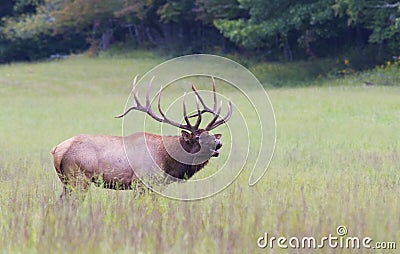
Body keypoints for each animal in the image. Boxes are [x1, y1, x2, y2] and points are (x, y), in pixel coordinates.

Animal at [50, 76, 231, 197]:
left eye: (211, 135)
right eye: (198, 137)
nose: (218, 143)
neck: (169, 163)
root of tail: (57, 150)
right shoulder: (142, 182)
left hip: (66, 181)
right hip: (79, 178)